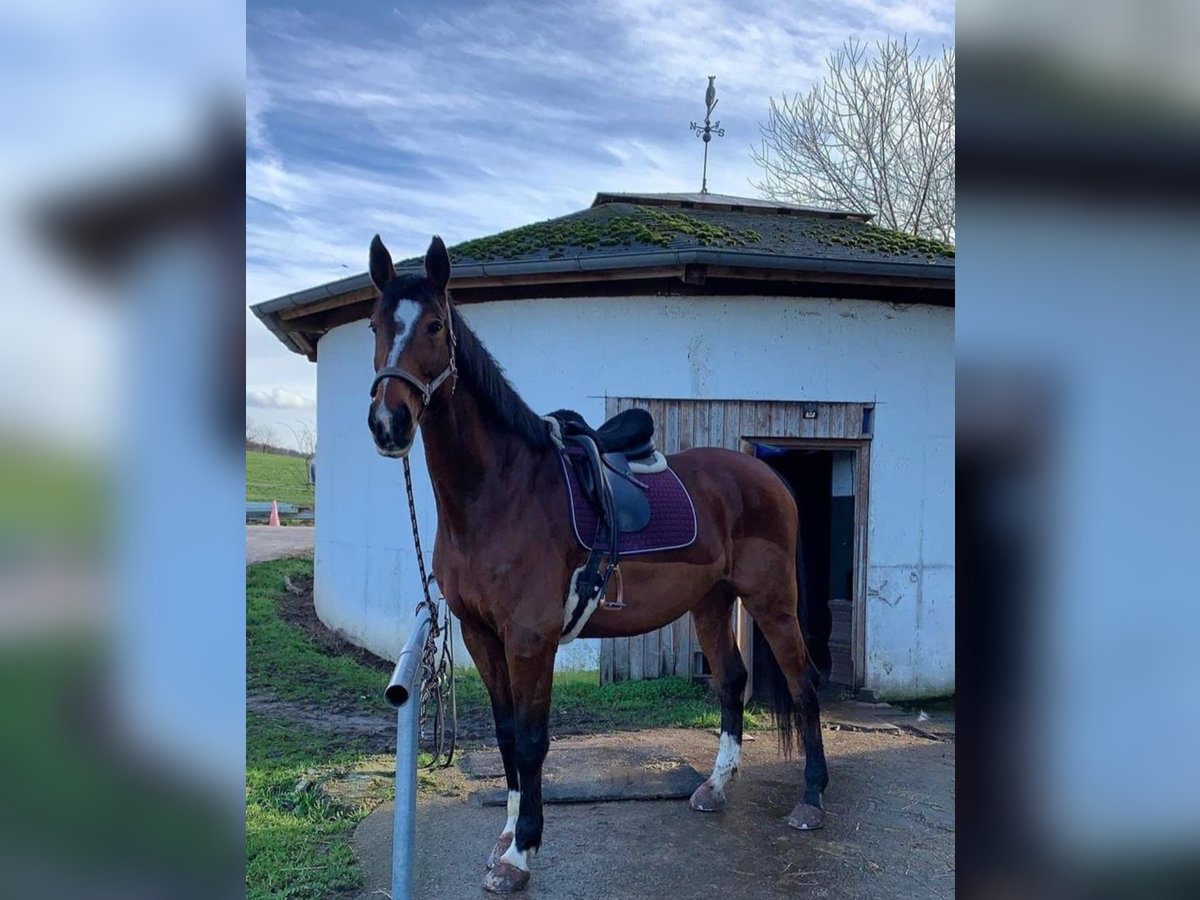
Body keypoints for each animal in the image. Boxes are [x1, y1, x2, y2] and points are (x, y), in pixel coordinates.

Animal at [367, 232, 825, 897]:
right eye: (376, 325)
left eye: (434, 325)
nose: (388, 422)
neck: (497, 493)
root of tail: (766, 475)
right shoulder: (481, 635)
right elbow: (505, 735)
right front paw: (505, 836)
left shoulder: (530, 640)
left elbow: (532, 741)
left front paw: (521, 853)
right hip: (712, 601)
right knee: (732, 680)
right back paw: (714, 787)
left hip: (771, 602)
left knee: (802, 682)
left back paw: (812, 800)